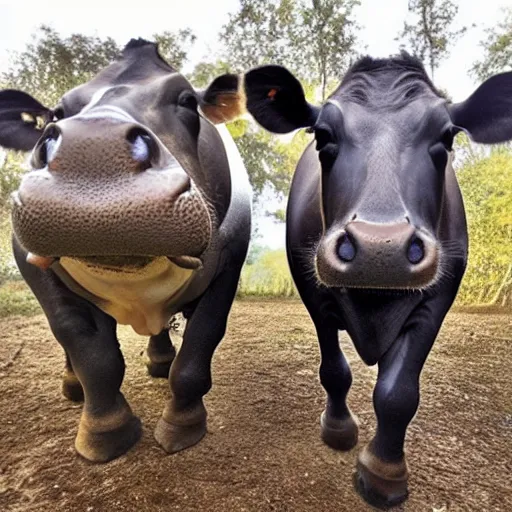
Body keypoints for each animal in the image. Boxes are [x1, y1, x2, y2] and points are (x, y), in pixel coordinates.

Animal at [0, 39, 252, 464]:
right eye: (56, 113)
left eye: (187, 99)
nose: (93, 148)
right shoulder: (32, 264)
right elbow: (88, 348)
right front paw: (105, 432)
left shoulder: (230, 263)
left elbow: (199, 346)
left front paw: (183, 424)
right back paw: (73, 385)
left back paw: (160, 362)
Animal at [242, 54, 512, 506]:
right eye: (323, 136)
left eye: (446, 137)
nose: (379, 248)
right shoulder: (313, 291)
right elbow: (334, 369)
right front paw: (338, 429)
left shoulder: (437, 299)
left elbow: (397, 391)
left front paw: (384, 470)